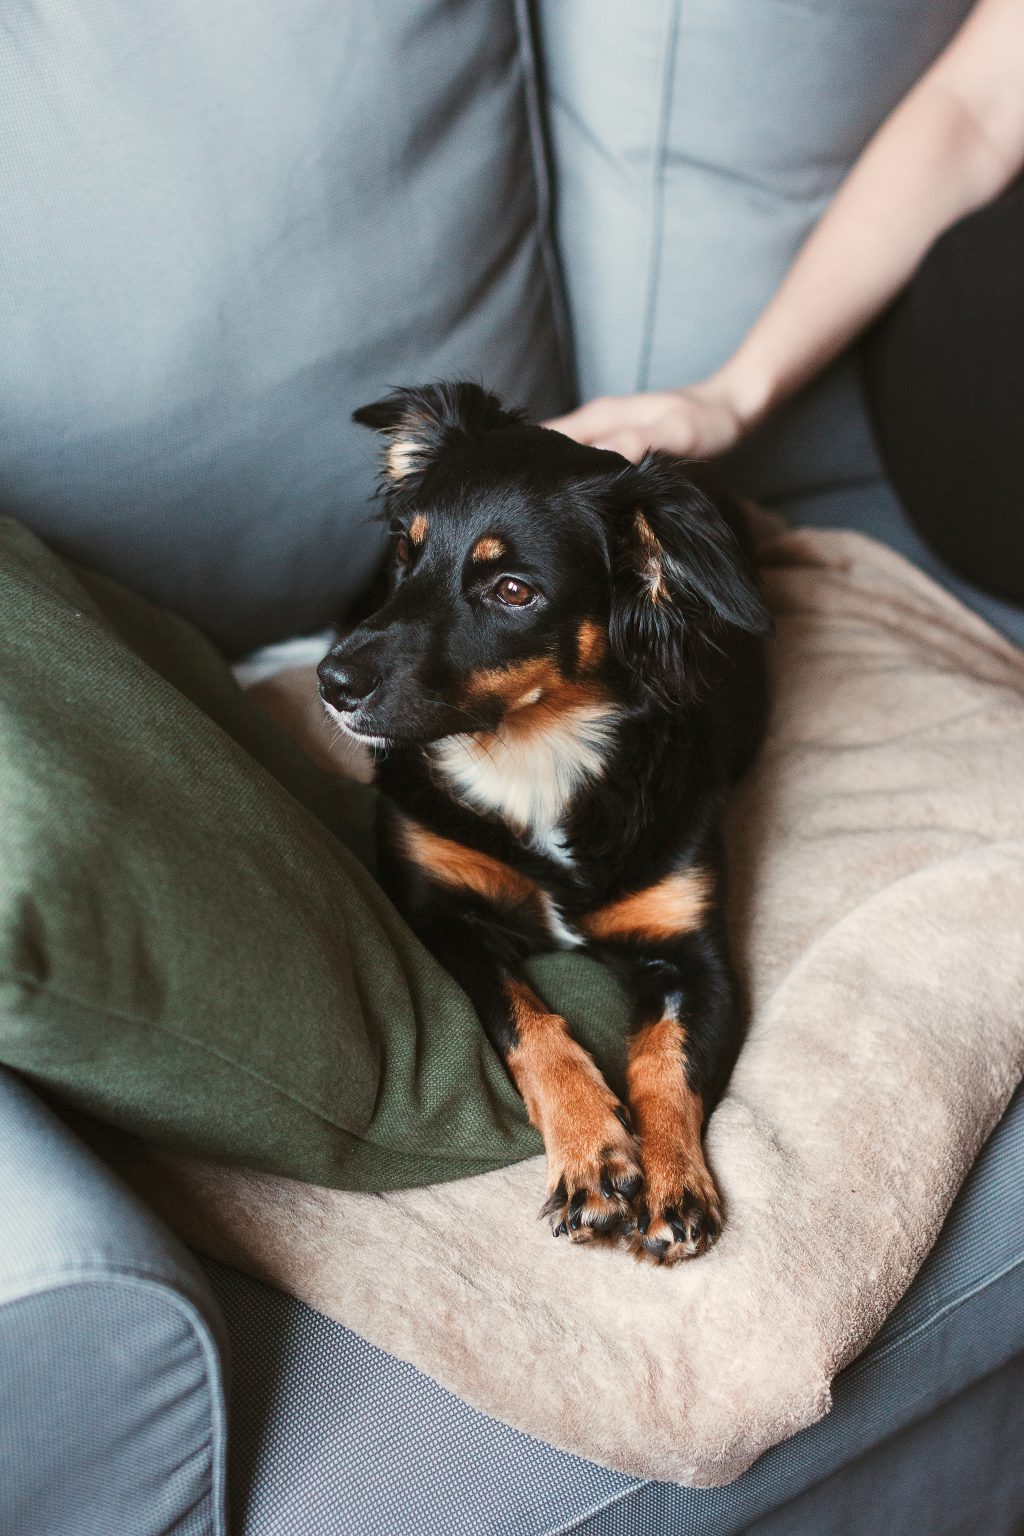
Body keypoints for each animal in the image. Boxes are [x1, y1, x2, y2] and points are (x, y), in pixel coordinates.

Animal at [317, 380, 767, 1259]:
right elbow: (532, 1024)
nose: (333, 682)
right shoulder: (441, 914)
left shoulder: (697, 954)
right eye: (406, 553)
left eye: (513, 591)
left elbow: (666, 1060)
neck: (536, 752)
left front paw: (673, 1179)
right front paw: (594, 1157)